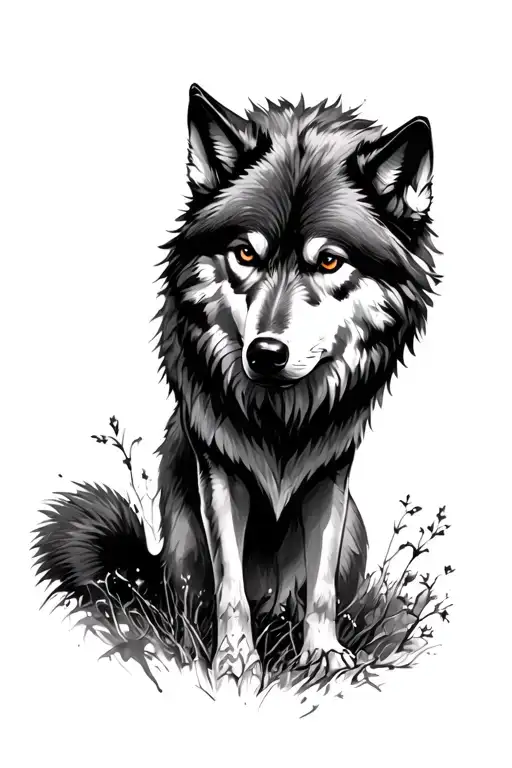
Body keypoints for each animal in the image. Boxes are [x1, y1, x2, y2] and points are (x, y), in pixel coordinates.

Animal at [34, 85, 438, 694]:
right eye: (246, 253)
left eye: (329, 260)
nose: (265, 353)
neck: (280, 417)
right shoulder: (218, 473)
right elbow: (230, 588)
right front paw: (235, 665)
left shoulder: (330, 475)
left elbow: (320, 587)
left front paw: (323, 656)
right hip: (180, 545)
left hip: (355, 536)